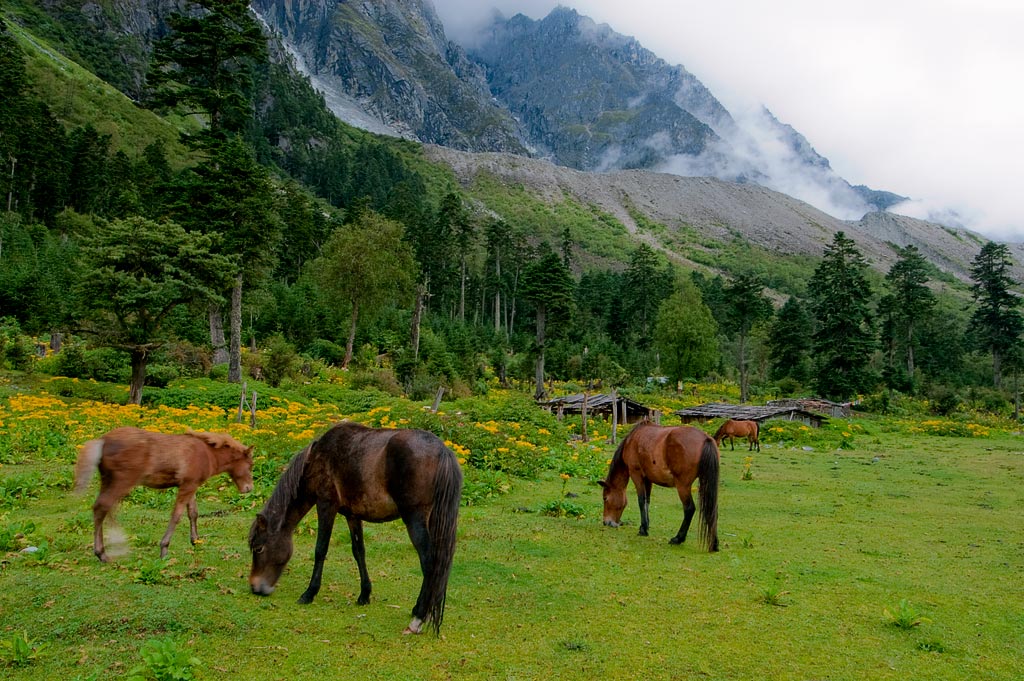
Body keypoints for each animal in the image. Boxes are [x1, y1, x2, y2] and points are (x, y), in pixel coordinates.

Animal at [74, 426, 253, 561]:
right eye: (251, 465)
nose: (249, 488)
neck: (206, 453)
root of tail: (103, 441)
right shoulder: (187, 486)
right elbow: (176, 516)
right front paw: (164, 549)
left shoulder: (192, 485)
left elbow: (193, 513)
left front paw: (196, 540)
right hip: (122, 482)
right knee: (104, 507)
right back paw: (107, 551)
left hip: (107, 481)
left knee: (101, 508)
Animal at [246, 421, 460, 634]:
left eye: (259, 548)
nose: (255, 587)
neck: (316, 458)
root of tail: (442, 450)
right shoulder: (353, 516)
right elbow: (359, 552)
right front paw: (364, 594)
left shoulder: (326, 504)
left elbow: (320, 549)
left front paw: (309, 593)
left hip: (415, 518)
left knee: (429, 563)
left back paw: (419, 617)